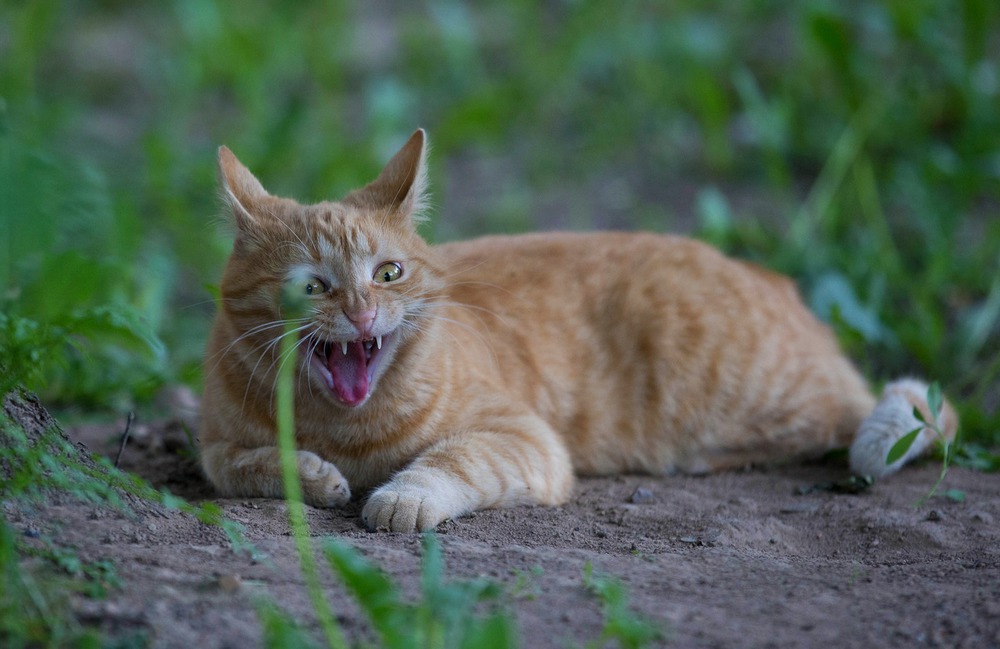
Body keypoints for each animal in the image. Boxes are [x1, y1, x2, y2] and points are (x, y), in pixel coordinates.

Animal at [199, 128, 956, 532]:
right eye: (312, 286)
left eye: (388, 273)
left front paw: (403, 495)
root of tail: (773, 277)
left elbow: (451, 459)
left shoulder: (521, 437)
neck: (342, 427)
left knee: (921, 408)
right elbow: (244, 465)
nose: (360, 313)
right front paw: (312, 475)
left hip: (781, 395)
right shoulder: (215, 445)